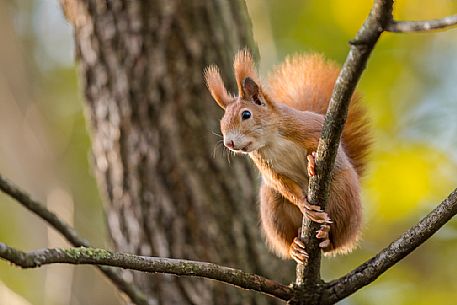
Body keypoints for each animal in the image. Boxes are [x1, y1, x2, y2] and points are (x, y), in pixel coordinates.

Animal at [205, 50, 368, 264]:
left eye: (246, 114)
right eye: (222, 121)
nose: (229, 143)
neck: (270, 140)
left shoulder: (311, 128)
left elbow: (318, 147)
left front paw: (311, 162)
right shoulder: (267, 167)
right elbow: (283, 183)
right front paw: (304, 204)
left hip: (344, 194)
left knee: (337, 240)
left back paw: (327, 237)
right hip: (273, 209)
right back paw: (294, 247)